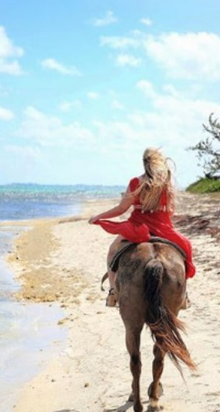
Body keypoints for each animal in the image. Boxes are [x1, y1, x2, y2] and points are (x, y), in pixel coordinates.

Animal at [114, 241, 195, 412]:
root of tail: (155, 261)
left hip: (132, 324)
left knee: (136, 360)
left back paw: (140, 402)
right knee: (157, 358)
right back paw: (153, 401)